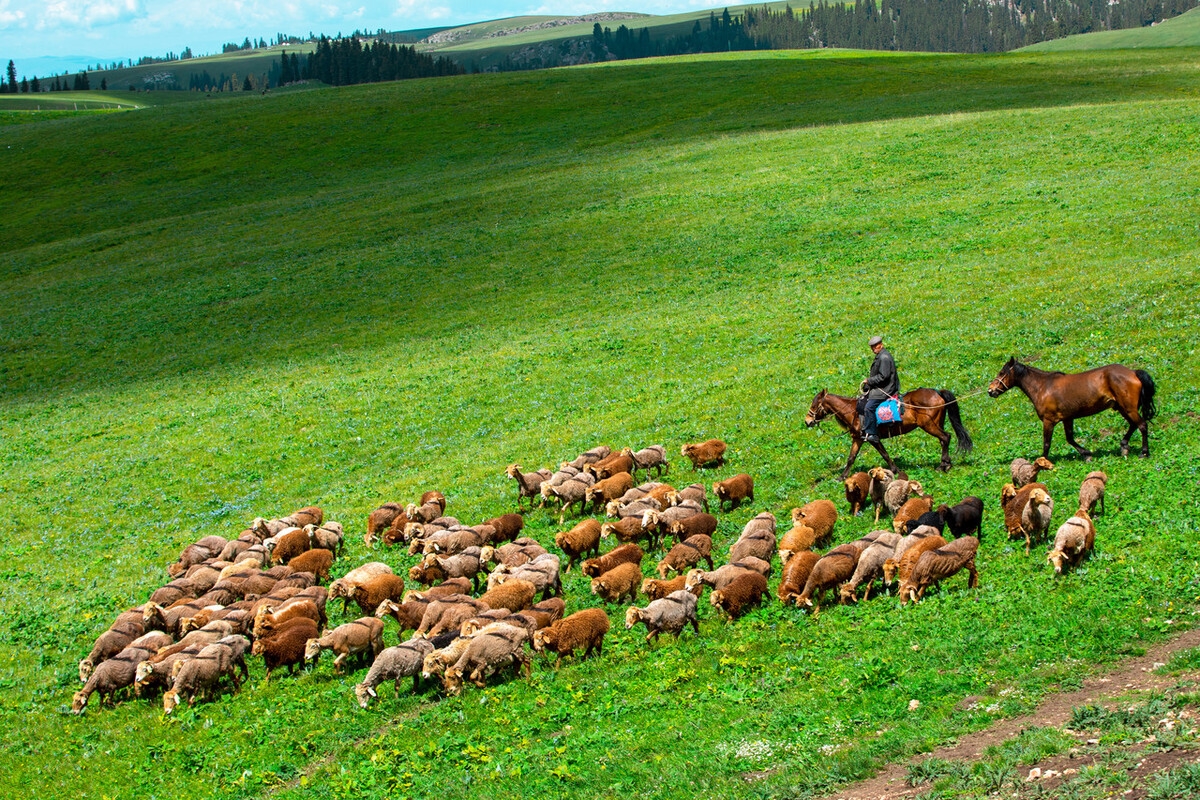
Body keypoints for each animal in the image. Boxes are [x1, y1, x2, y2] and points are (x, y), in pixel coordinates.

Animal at [801, 388, 969, 479]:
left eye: (814, 405)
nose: (807, 421)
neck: (853, 411)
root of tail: (937, 392)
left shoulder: (871, 438)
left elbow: (884, 454)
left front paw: (895, 471)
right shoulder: (858, 439)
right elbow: (851, 458)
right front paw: (842, 477)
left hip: (928, 425)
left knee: (946, 437)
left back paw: (944, 465)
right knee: (943, 440)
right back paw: (945, 463)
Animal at [984, 359, 1152, 460]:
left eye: (1001, 373)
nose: (990, 390)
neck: (1043, 387)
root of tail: (1133, 372)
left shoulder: (1049, 421)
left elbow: (1047, 442)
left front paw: (1043, 462)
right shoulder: (1067, 418)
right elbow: (1070, 438)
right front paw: (1086, 454)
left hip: (1128, 408)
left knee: (1142, 425)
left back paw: (1144, 452)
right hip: (1123, 408)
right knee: (1134, 425)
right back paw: (1124, 446)